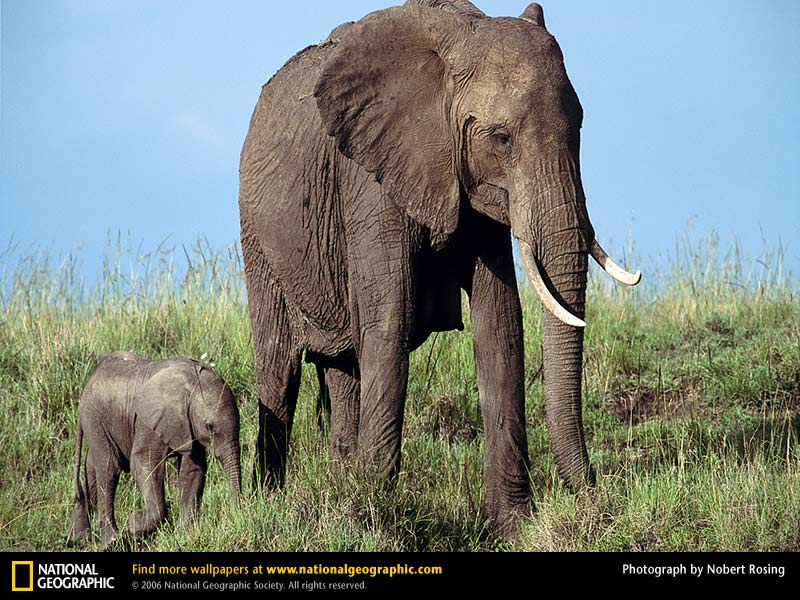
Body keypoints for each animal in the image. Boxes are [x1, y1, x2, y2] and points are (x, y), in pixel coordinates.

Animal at [67, 352, 241, 548]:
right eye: (210, 427)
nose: (237, 513)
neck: (192, 381)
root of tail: (91, 378)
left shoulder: (187, 424)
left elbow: (193, 470)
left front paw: (184, 535)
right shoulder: (148, 420)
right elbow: (144, 462)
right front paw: (134, 523)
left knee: (92, 468)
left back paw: (78, 539)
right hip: (94, 417)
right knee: (109, 468)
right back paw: (111, 542)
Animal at [239, 0, 644, 536]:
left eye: (579, 127)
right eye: (501, 138)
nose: (595, 497)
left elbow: (500, 322)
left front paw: (514, 528)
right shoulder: (369, 180)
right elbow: (389, 321)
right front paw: (375, 521)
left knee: (343, 369)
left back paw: (340, 487)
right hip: (258, 238)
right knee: (279, 369)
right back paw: (270, 506)